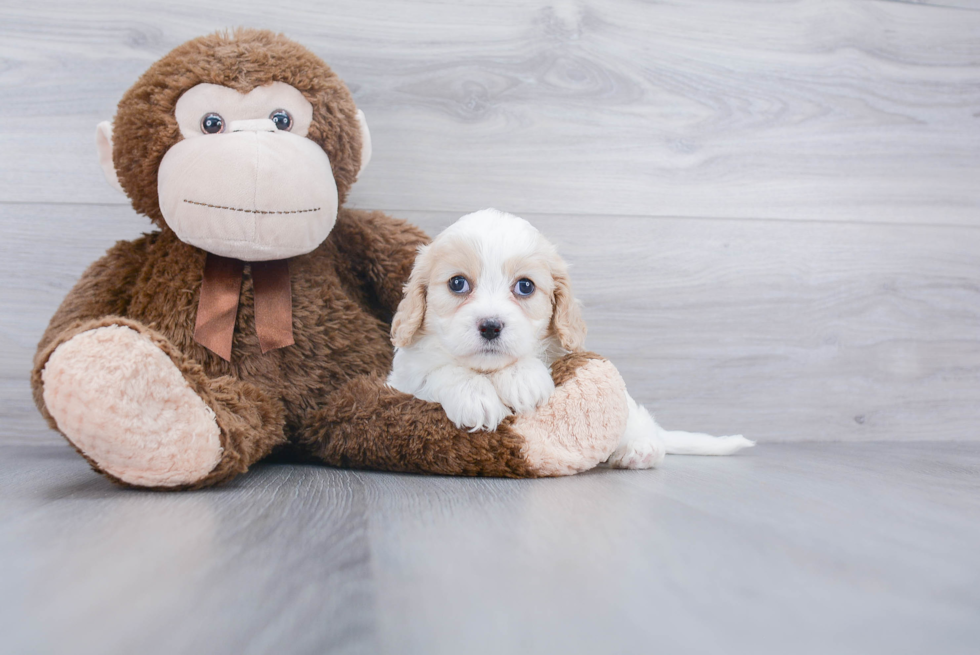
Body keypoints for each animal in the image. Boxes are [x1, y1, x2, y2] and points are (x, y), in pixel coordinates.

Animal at [386, 208, 756, 468]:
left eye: (525, 286)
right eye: (457, 283)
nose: (490, 326)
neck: (488, 370)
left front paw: (522, 378)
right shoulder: (402, 379)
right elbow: (439, 370)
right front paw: (475, 396)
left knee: (638, 419)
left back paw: (639, 447)